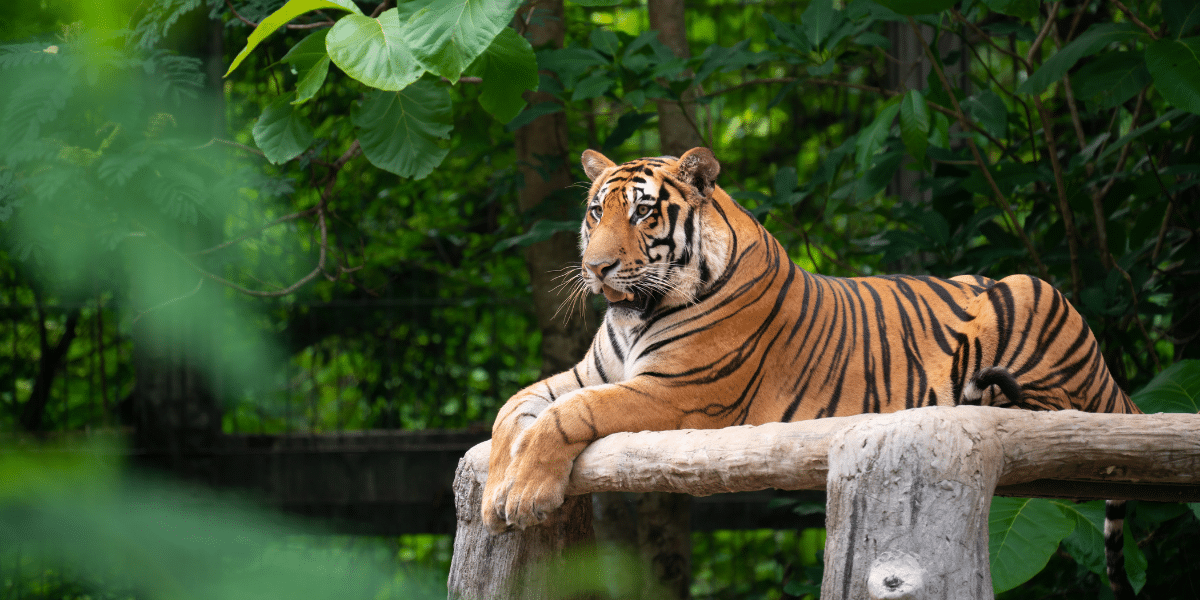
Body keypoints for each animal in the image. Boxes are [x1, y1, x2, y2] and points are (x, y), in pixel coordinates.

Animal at [482, 147, 1142, 597]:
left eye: (644, 214)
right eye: (596, 213)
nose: (597, 269)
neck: (637, 315)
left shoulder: (679, 394)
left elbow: (568, 414)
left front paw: (526, 494)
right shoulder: (587, 372)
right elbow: (512, 411)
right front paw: (492, 496)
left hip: (1031, 293)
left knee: (1057, 411)